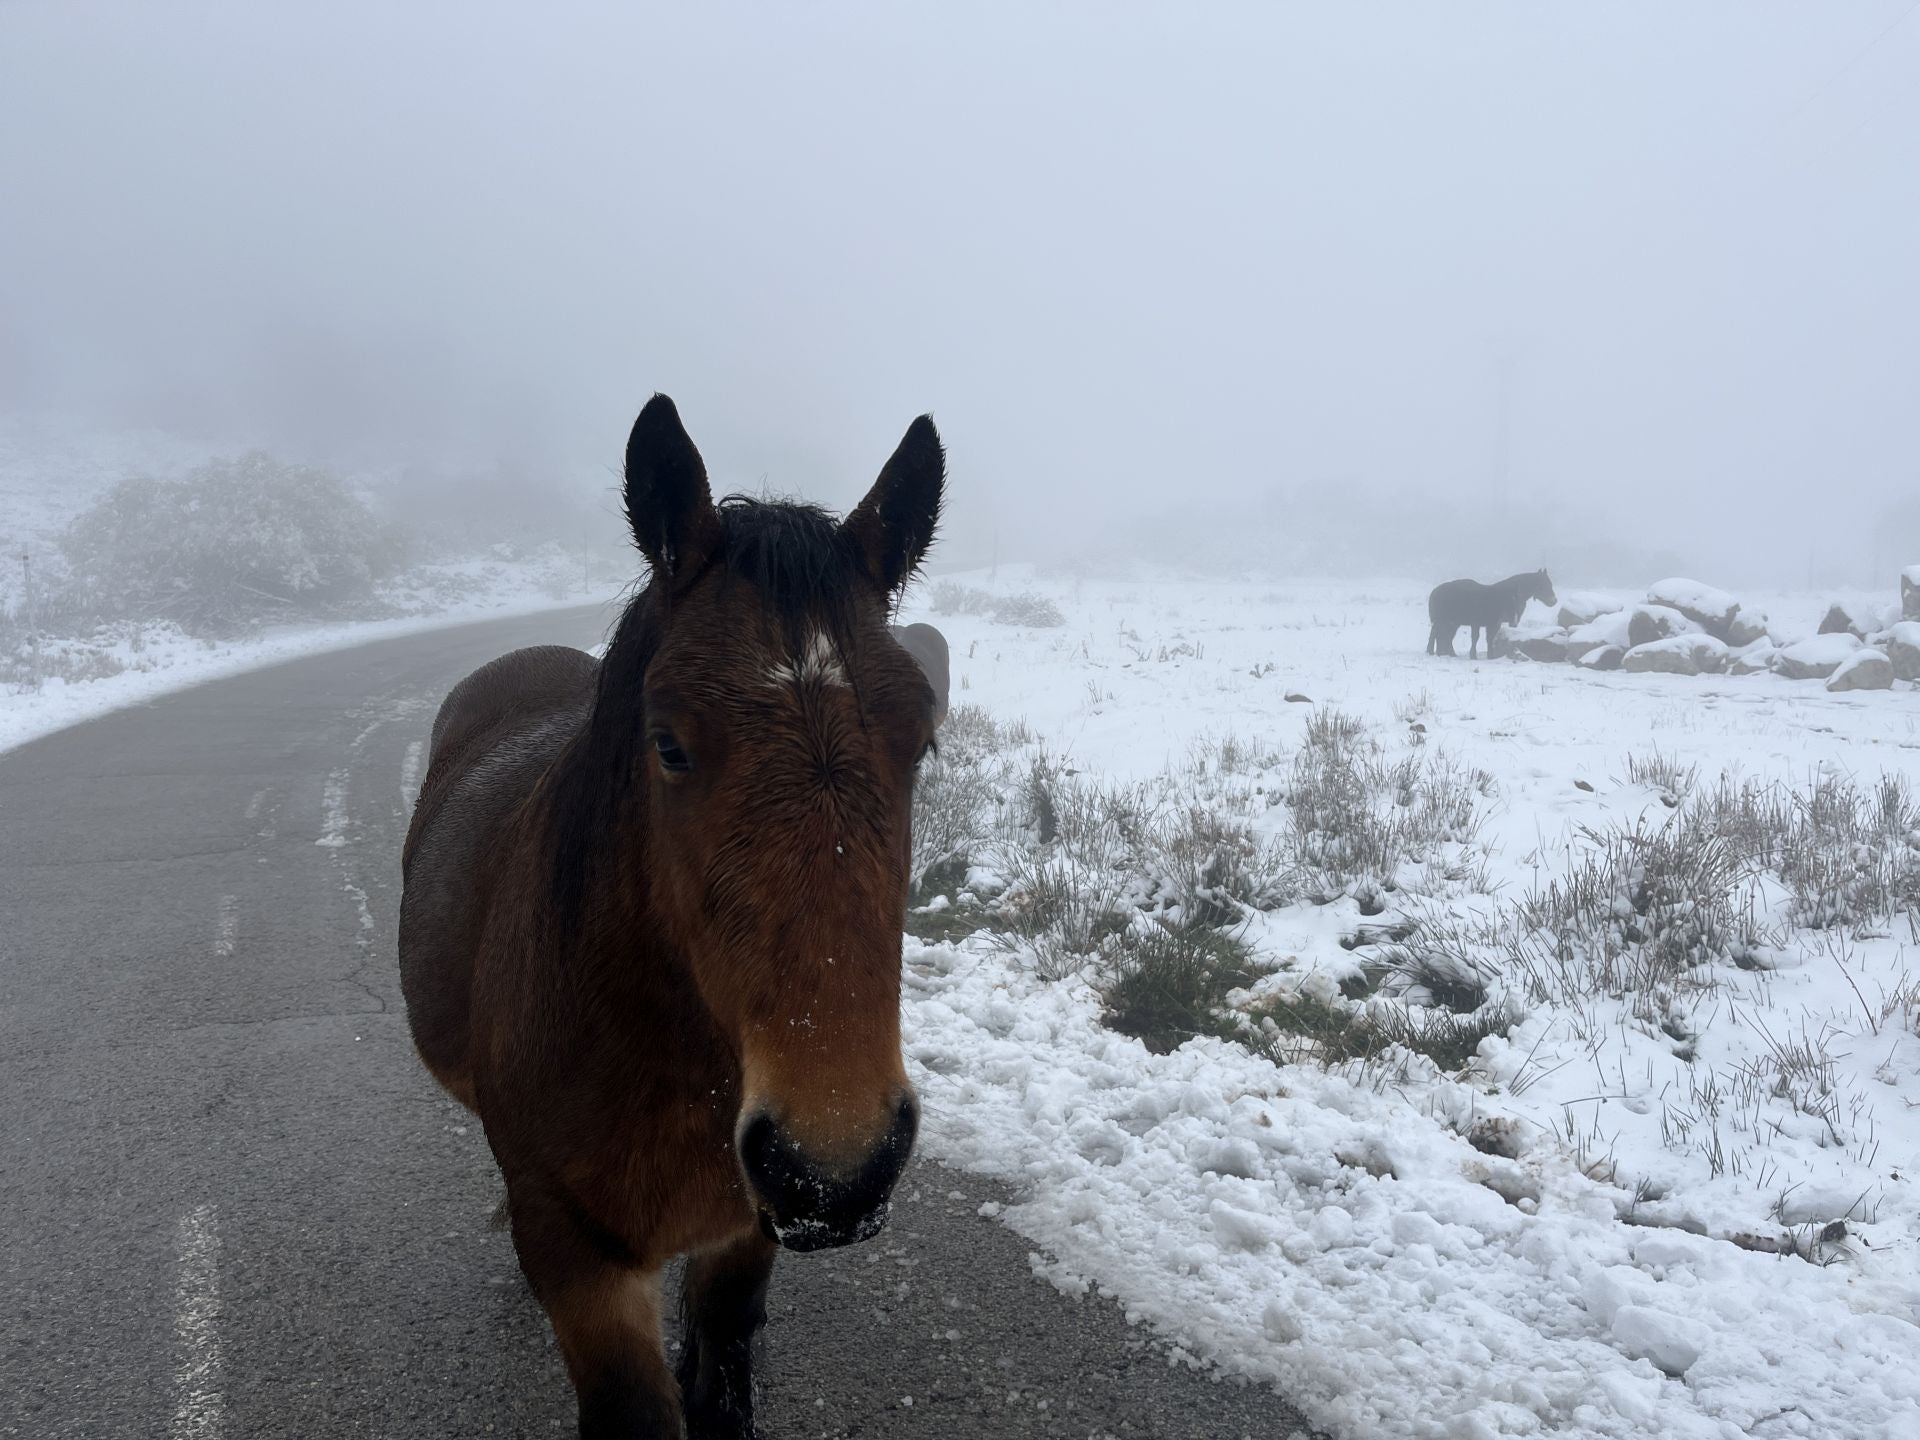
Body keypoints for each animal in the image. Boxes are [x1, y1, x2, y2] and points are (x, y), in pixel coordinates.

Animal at [397, 397, 944, 1440]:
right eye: (668, 744)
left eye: (923, 739)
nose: (836, 1169)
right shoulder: (582, 1271)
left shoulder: (743, 1237)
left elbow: (721, 1370)